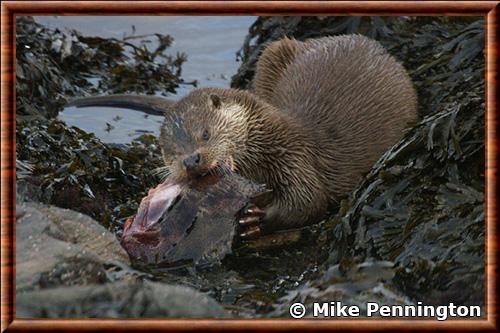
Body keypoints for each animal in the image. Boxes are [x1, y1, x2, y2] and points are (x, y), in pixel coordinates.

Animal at [67, 35, 418, 237]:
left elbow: (308, 200)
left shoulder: (296, 157)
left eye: (205, 133)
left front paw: (257, 219)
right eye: (169, 151)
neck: (269, 144)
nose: (191, 160)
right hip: (274, 51)